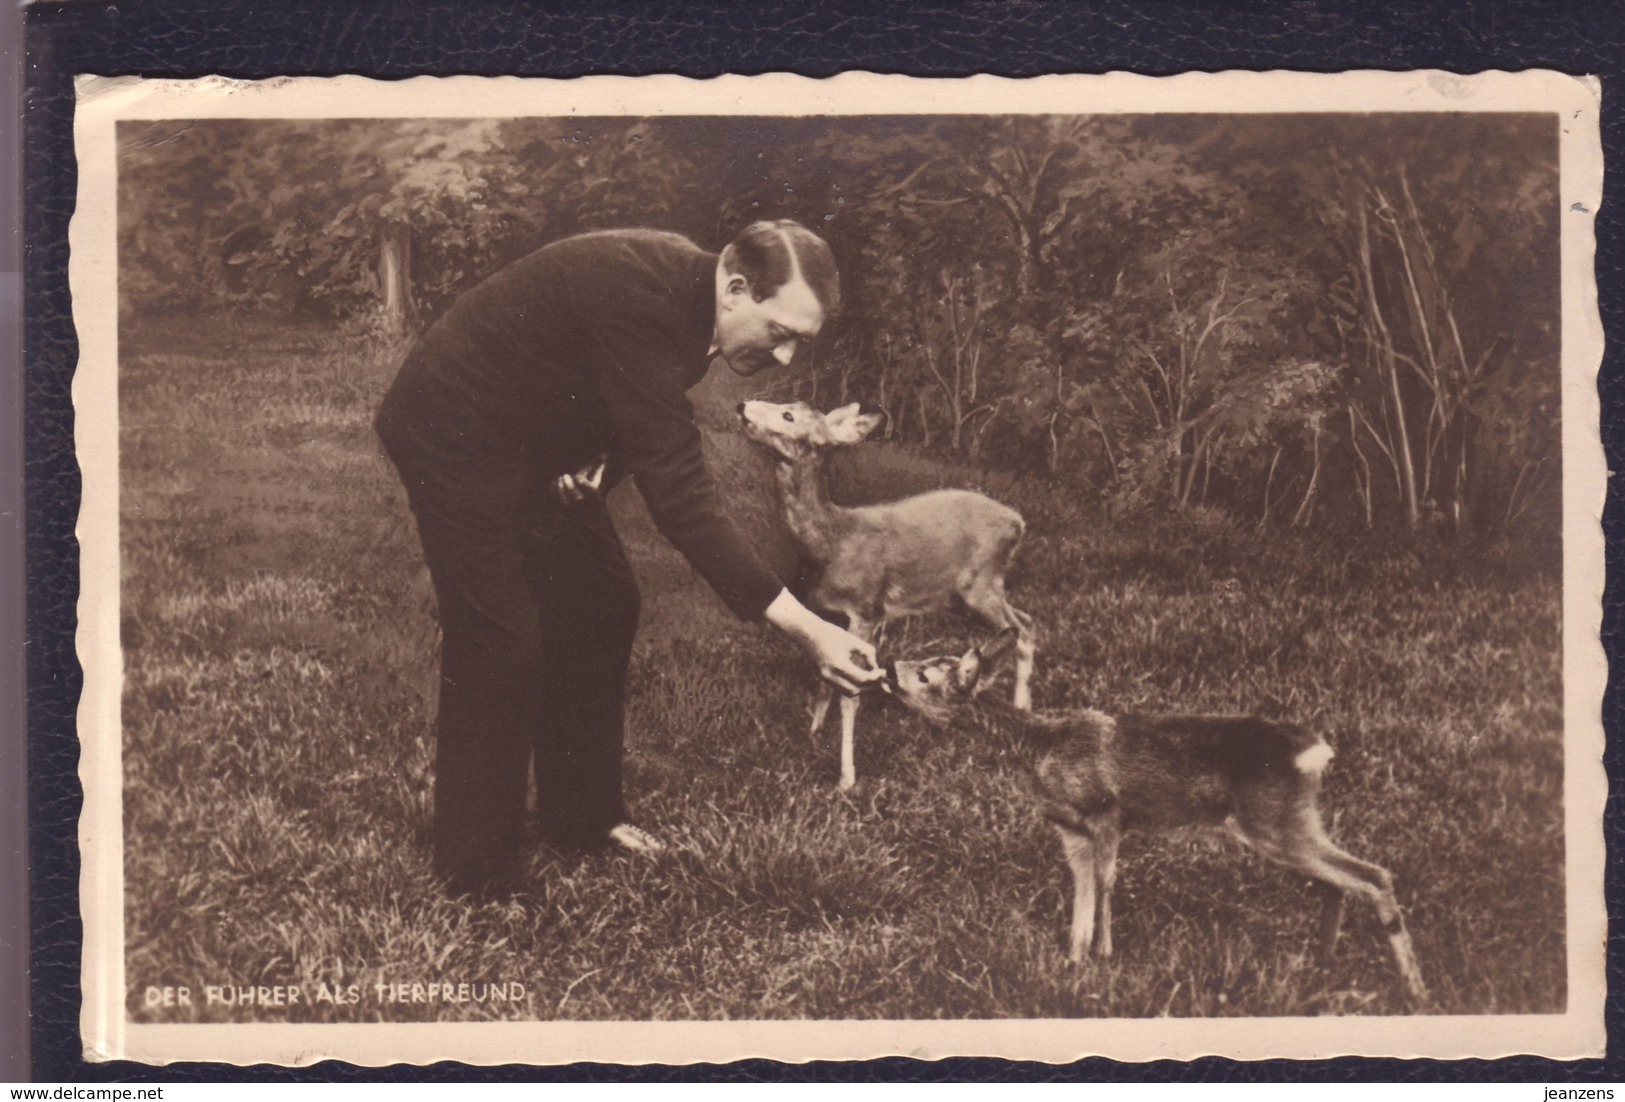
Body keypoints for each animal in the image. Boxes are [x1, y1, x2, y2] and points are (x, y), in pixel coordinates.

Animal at [741, 401, 1033, 789]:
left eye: (789, 415)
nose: (742, 406)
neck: (832, 541)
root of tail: (1019, 522)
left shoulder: (866, 610)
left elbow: (850, 694)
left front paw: (846, 778)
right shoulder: (829, 613)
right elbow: (824, 678)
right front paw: (814, 733)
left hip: (981, 583)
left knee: (1024, 629)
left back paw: (1021, 707)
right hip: (959, 596)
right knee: (1024, 621)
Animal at [884, 630, 1430, 1007]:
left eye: (926, 675)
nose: (889, 663)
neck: (1040, 749)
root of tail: (1316, 752)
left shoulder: (1106, 810)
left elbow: (1105, 884)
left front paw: (1103, 958)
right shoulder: (1071, 830)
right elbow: (1082, 895)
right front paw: (1074, 963)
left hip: (1275, 821)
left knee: (1373, 875)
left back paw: (1414, 988)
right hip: (1288, 821)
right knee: (1339, 881)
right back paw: (1324, 961)